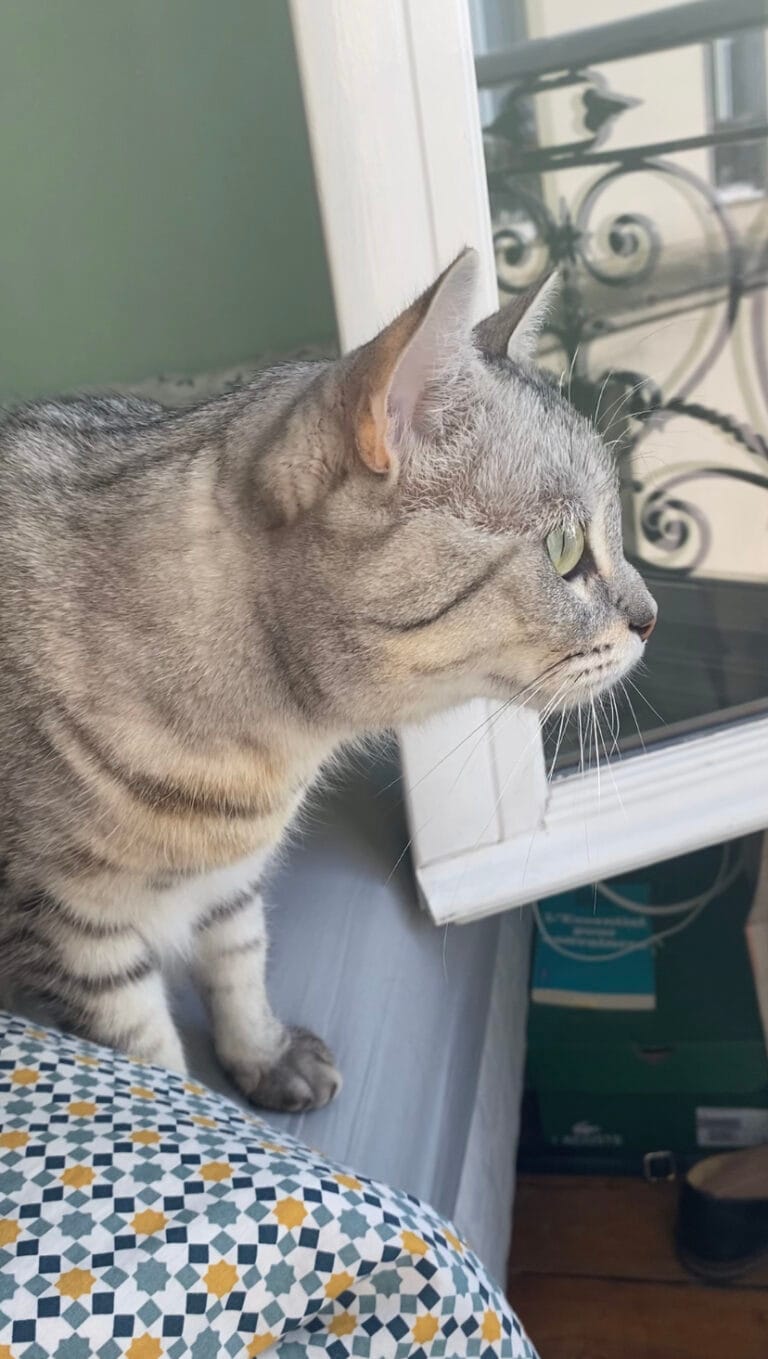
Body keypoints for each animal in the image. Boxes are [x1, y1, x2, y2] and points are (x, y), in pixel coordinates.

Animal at [0, 250, 652, 1108]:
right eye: (566, 547)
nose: (652, 616)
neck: (266, 756)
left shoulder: (231, 882)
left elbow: (240, 962)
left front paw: (266, 1055)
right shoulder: (74, 928)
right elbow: (152, 1065)